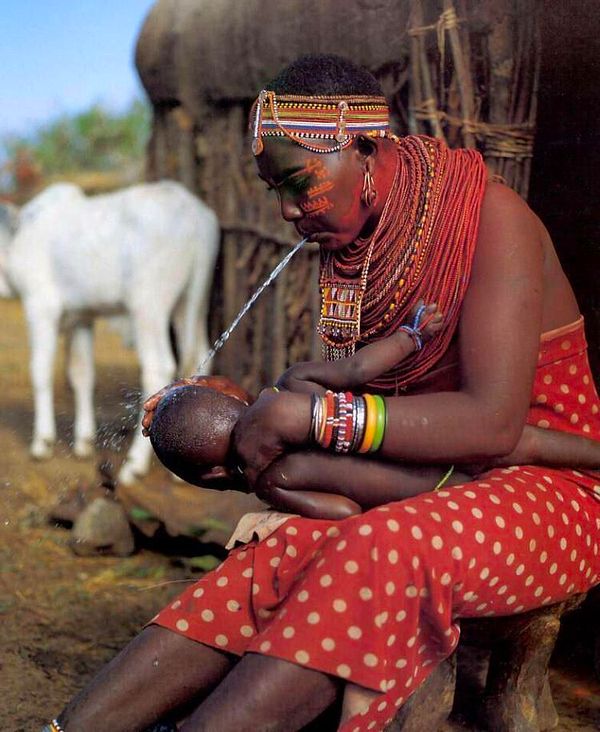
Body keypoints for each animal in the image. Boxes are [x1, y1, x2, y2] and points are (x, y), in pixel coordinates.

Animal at [0, 180, 220, 484]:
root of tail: (194, 215)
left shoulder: (40, 306)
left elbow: (40, 370)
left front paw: (42, 442)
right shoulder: (83, 317)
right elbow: (81, 373)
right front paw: (83, 442)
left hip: (148, 307)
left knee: (158, 368)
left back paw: (134, 465)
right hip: (190, 304)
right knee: (201, 354)